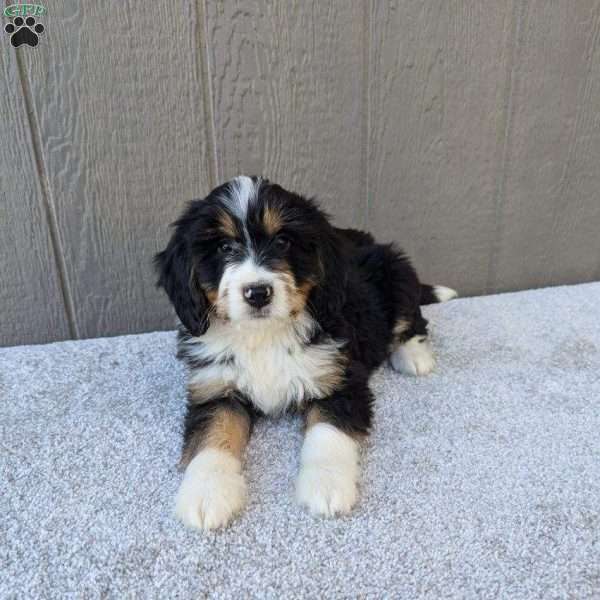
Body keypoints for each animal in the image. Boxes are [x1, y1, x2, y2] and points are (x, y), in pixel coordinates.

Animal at [155, 175, 454, 528]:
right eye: (224, 247)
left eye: (283, 242)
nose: (258, 293)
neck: (264, 335)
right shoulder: (215, 386)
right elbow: (211, 436)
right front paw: (206, 493)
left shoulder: (339, 376)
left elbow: (327, 431)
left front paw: (326, 486)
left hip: (398, 275)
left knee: (412, 319)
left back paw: (414, 357)